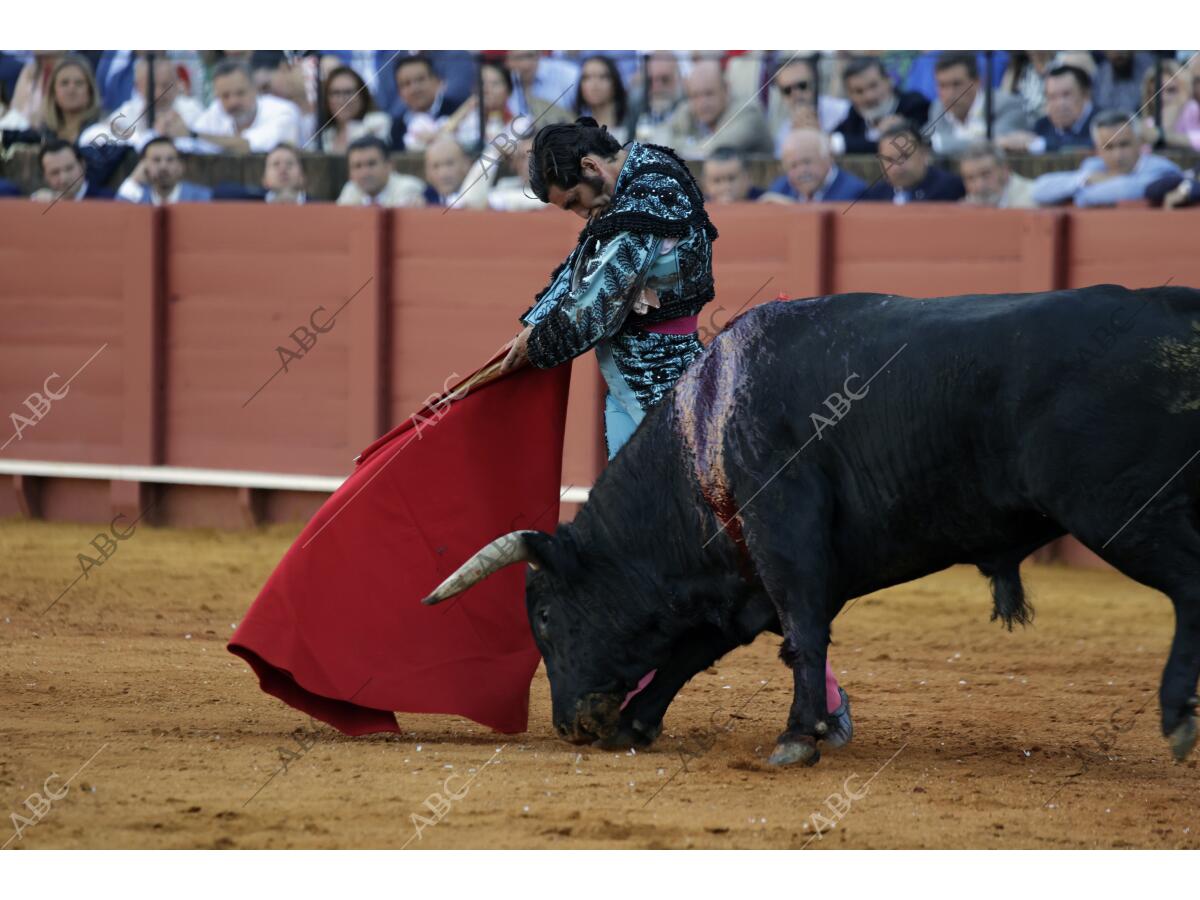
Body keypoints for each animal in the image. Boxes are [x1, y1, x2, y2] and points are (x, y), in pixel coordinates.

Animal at [427, 286, 1200, 768]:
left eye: (544, 617)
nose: (570, 726)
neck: (704, 435)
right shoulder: (741, 578)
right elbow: (695, 651)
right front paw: (636, 722)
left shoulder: (785, 541)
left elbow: (803, 634)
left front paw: (798, 738)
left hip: (1121, 510)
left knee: (1188, 588)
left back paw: (1177, 718)